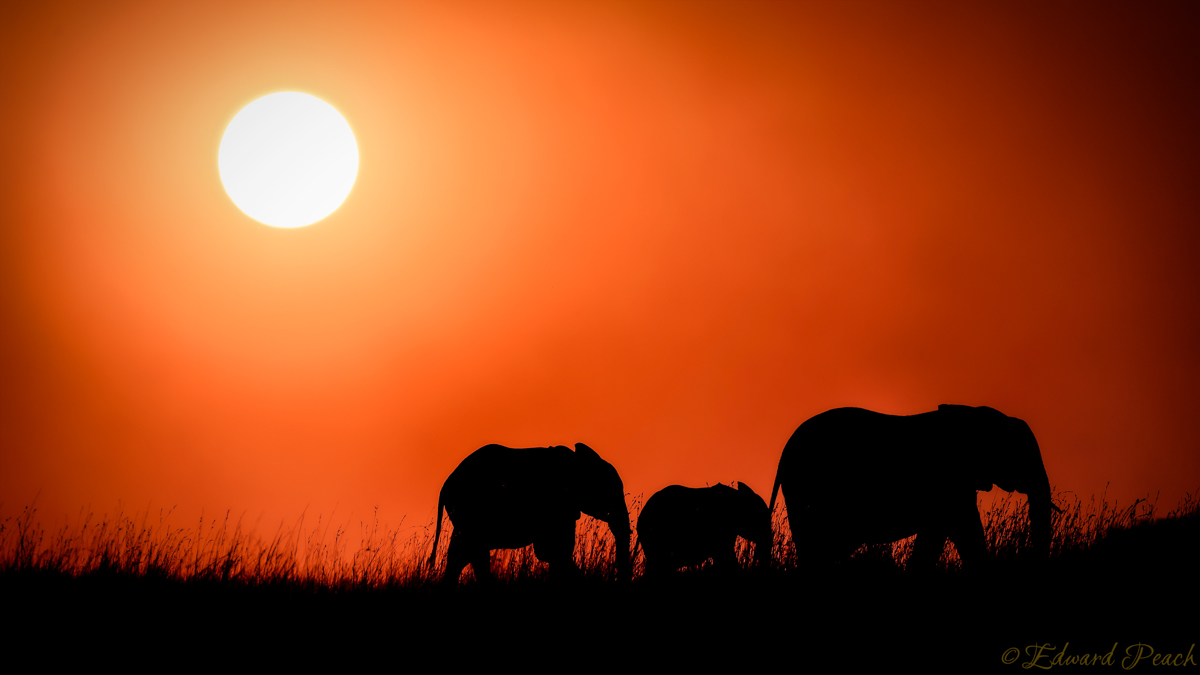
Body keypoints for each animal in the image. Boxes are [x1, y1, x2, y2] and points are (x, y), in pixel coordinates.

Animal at [428, 442, 631, 583]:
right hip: (470, 510)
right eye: (608, 491)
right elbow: (554, 551)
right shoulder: (553, 504)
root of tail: (445, 485)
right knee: (469, 552)